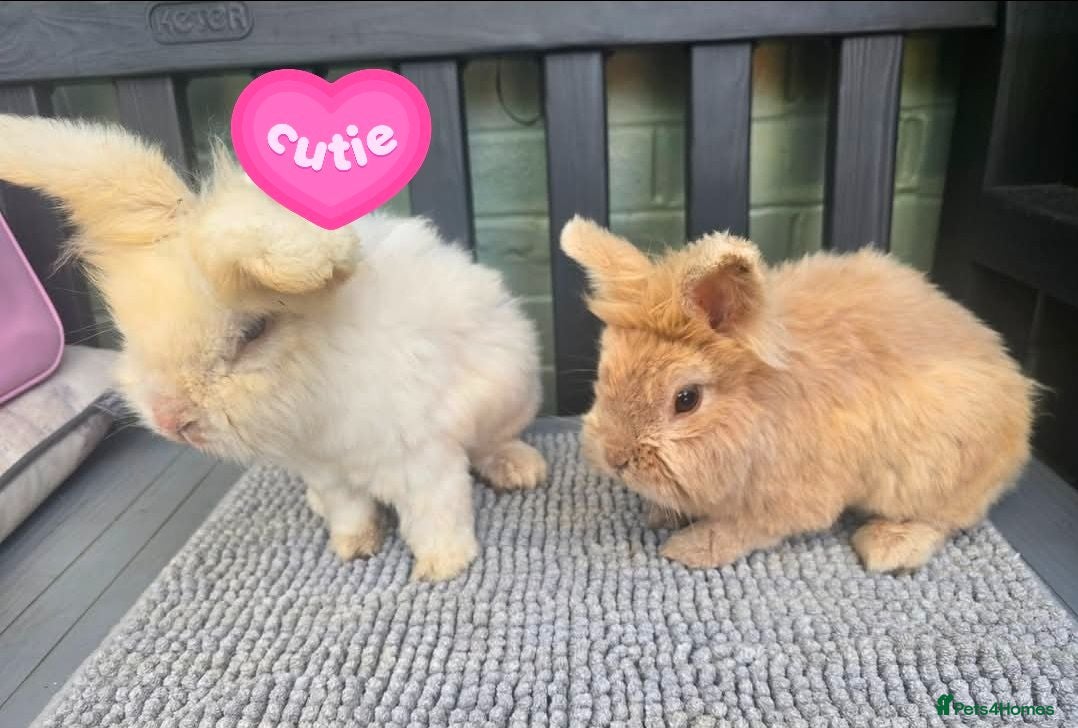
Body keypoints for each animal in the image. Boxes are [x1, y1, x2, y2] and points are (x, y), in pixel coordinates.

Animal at [0, 115, 547, 581]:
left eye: (253, 331)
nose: (170, 420)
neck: (315, 392)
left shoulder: (422, 460)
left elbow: (436, 517)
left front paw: (442, 569)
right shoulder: (327, 471)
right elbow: (350, 512)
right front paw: (354, 548)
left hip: (509, 394)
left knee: (492, 444)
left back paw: (521, 470)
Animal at [560, 217, 1035, 572]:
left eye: (687, 399)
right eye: (604, 373)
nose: (616, 459)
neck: (758, 405)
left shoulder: (788, 499)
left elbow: (742, 528)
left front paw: (690, 548)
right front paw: (661, 513)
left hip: (933, 470)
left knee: (948, 517)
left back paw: (888, 546)